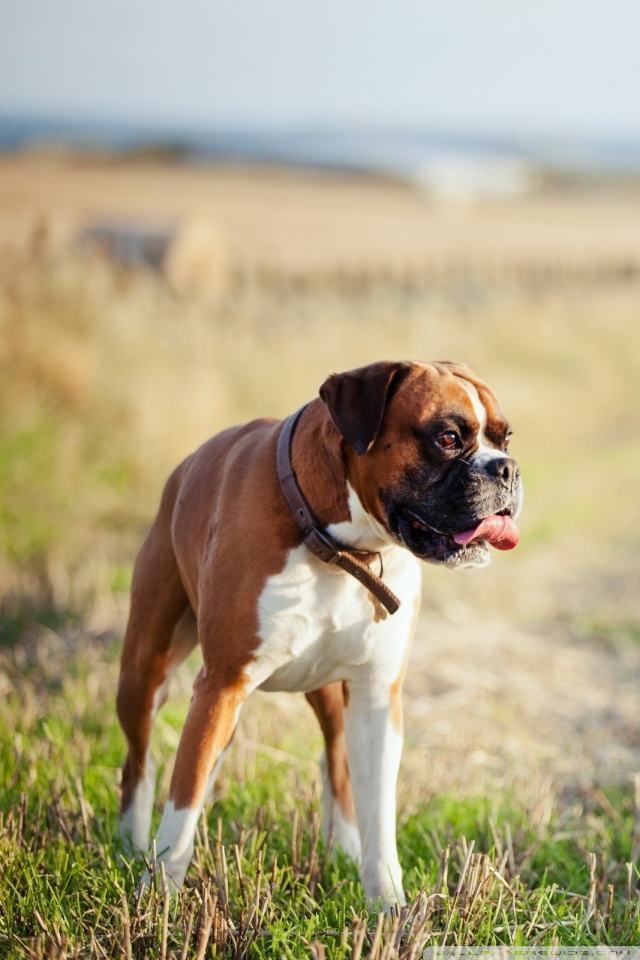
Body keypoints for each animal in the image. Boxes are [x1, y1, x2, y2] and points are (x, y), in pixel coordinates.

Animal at [116, 360, 522, 907]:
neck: (340, 549)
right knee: (140, 764)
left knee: (335, 764)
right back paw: (130, 843)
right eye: (447, 437)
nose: (507, 468)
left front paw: (388, 906)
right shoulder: (221, 686)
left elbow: (378, 813)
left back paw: (344, 849)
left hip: (329, 695)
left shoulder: (376, 699)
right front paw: (157, 899)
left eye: (506, 437)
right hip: (145, 673)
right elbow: (183, 805)